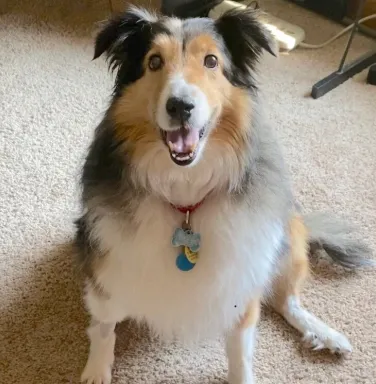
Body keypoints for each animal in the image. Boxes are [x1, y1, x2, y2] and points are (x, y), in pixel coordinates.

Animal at [76, 6, 374, 384]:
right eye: (154, 61)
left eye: (211, 61)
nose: (180, 106)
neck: (186, 195)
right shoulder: (107, 265)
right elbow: (104, 326)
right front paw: (97, 370)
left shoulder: (241, 278)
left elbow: (240, 349)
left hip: (288, 238)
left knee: (287, 301)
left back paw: (325, 333)